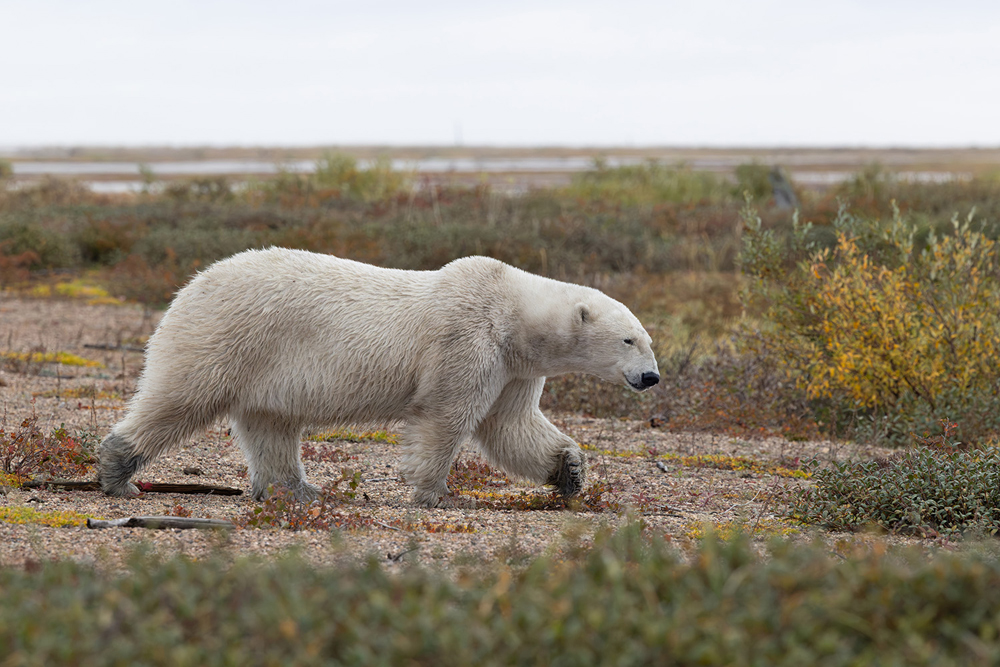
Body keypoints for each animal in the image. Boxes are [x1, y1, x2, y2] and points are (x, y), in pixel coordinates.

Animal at [98, 248, 660, 508]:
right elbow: (446, 415)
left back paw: (298, 489)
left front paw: (571, 471)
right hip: (228, 337)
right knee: (180, 397)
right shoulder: (466, 340)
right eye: (628, 340)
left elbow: (511, 426)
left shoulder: (514, 368)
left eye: (647, 338)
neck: (511, 313)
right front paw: (437, 492)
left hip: (266, 365)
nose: (651, 377)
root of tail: (192, 284)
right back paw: (118, 471)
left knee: (270, 423)